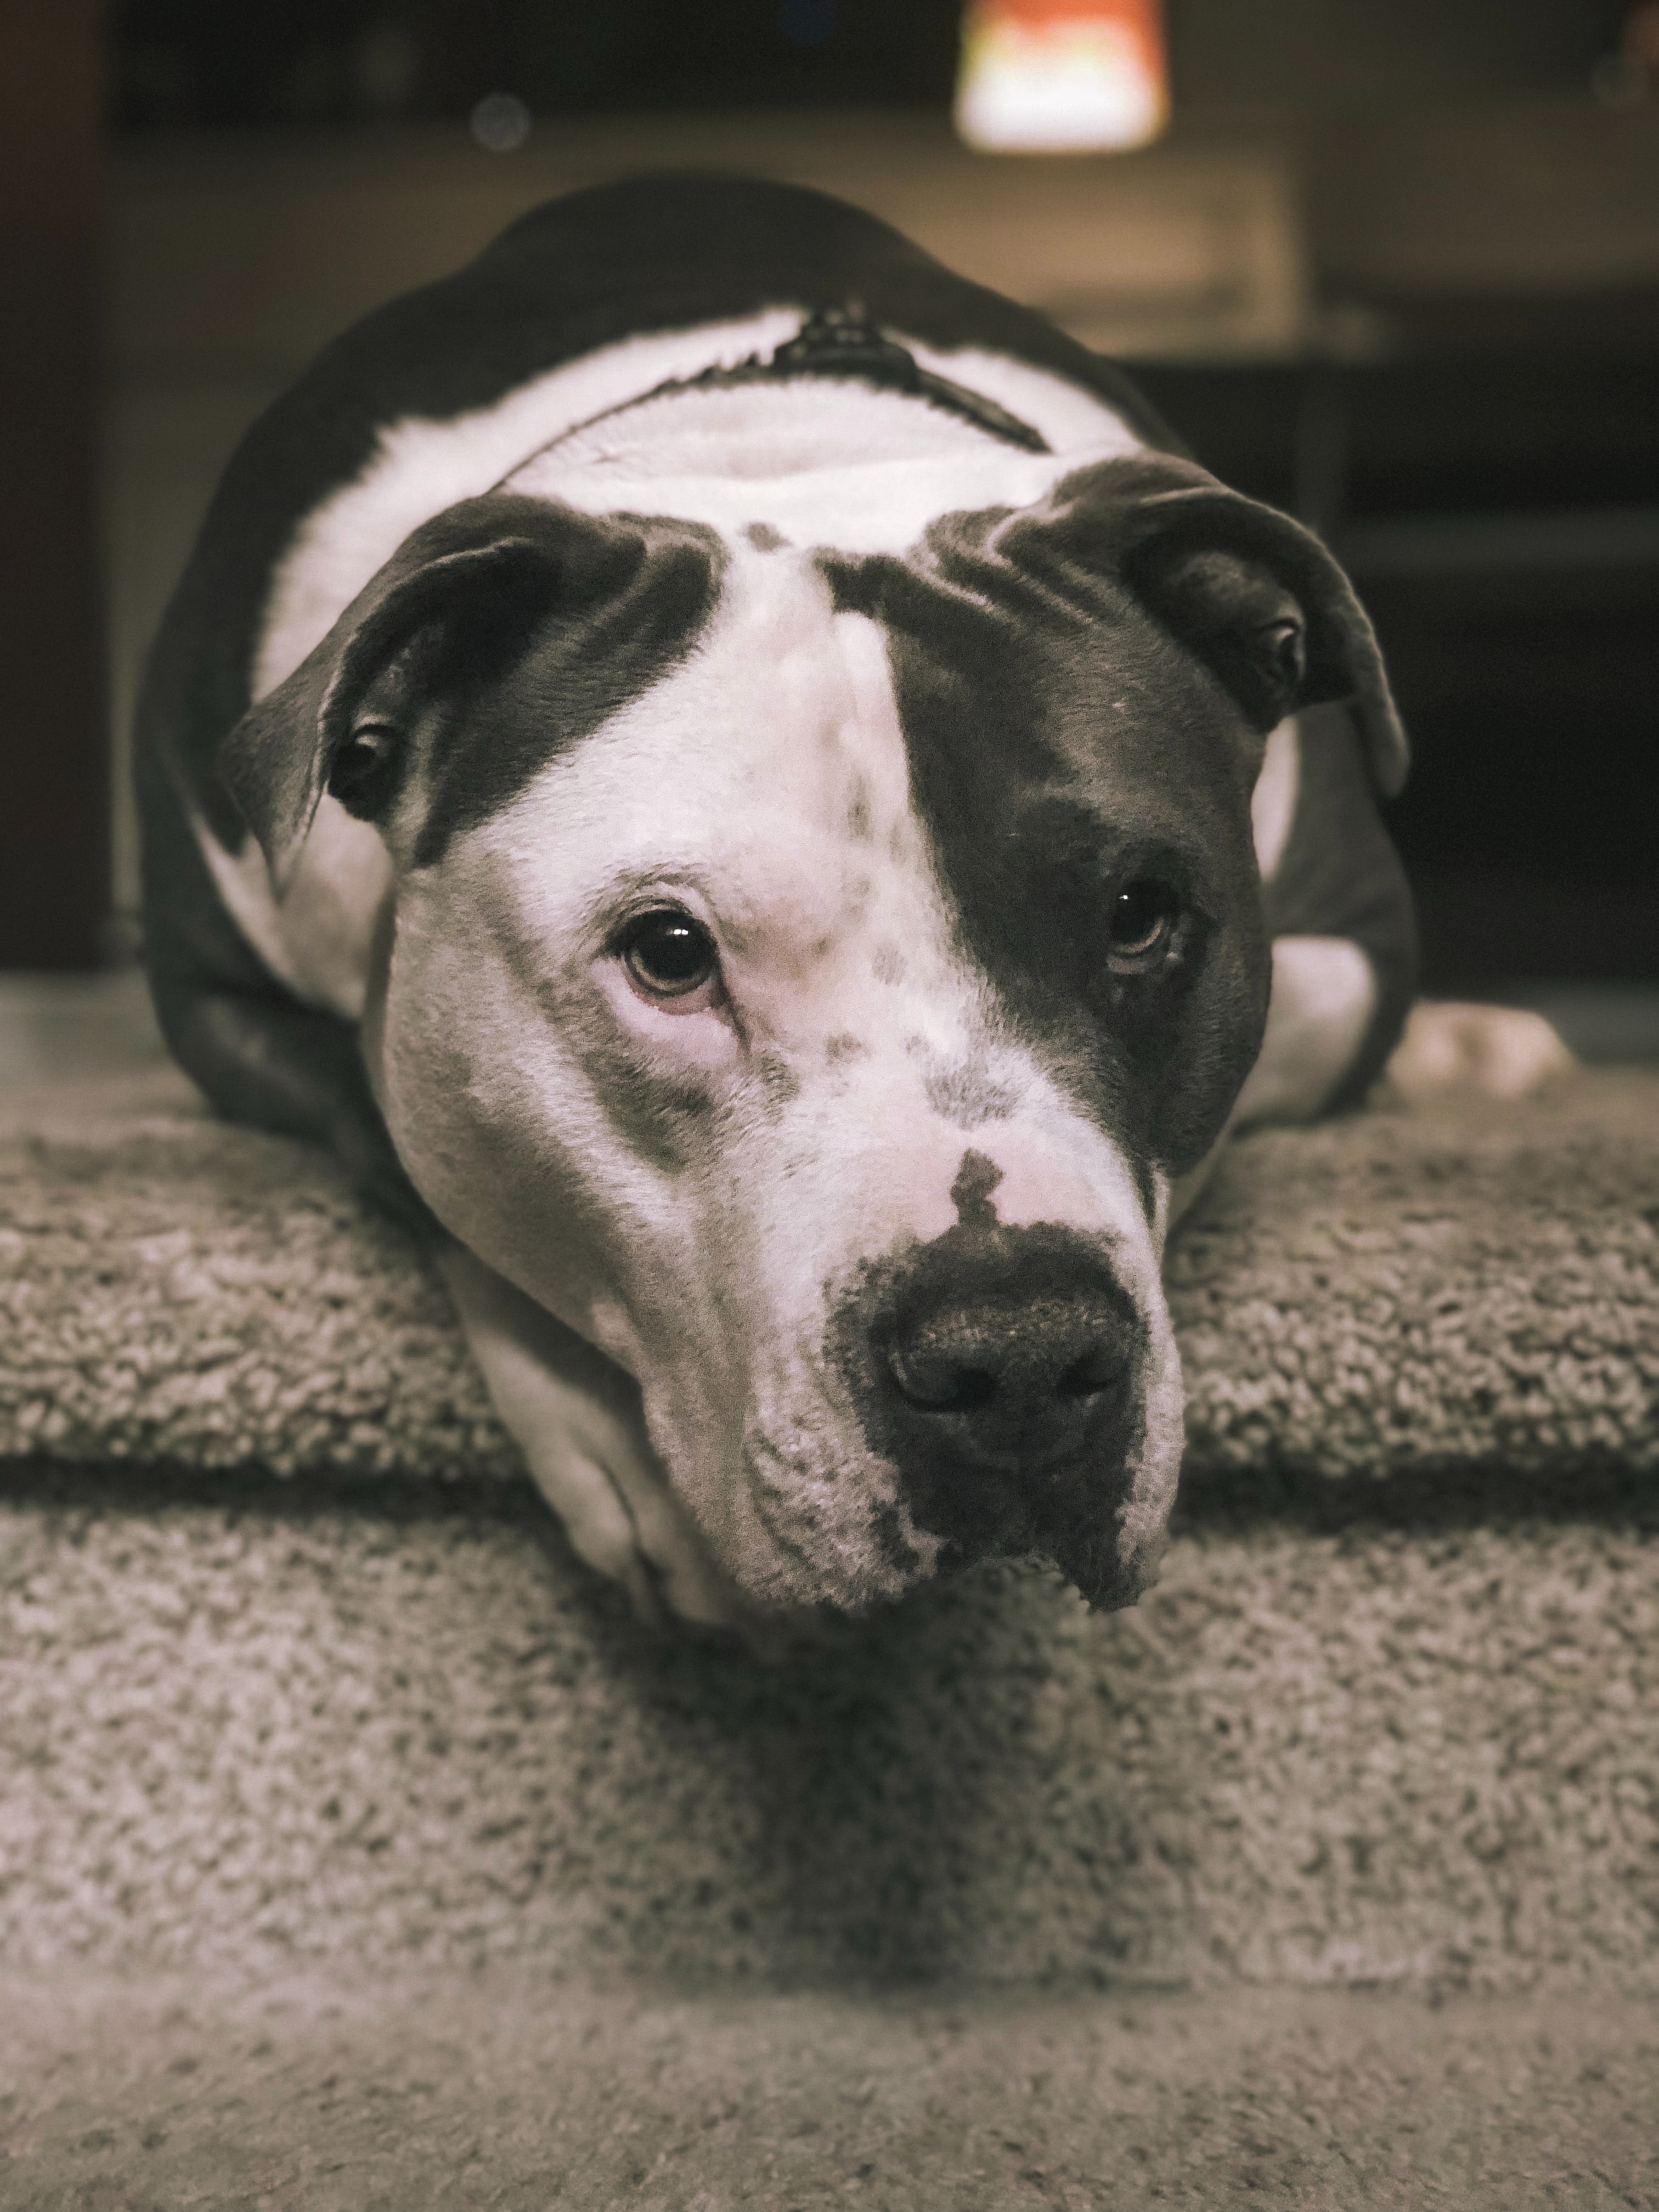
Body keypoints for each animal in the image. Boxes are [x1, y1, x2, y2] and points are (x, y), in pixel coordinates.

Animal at [136, 172, 1424, 1637]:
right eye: (669, 954)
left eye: (1140, 915)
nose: (1020, 1360)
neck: (786, 447)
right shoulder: (209, 994)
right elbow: (385, 1126)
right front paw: (604, 1430)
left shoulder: (1364, 944)